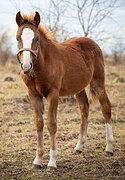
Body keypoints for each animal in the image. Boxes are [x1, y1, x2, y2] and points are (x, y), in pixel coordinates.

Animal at [15, 11, 113, 169]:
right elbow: (39, 123)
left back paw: (109, 148)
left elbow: (51, 124)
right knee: (84, 108)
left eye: (37, 39)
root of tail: (92, 42)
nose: (26, 66)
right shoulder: (33, 95)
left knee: (106, 107)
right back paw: (79, 146)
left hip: (98, 82)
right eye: (18, 37)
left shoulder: (53, 94)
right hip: (78, 87)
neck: (43, 64)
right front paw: (37, 160)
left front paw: (52, 162)